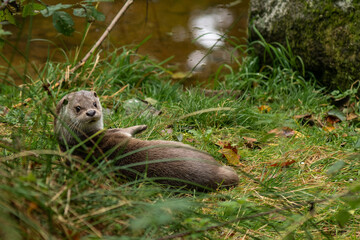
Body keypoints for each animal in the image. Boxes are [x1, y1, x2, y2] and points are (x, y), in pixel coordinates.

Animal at [54, 90, 239, 189]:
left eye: (94, 103)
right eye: (78, 108)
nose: (91, 112)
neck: (82, 140)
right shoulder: (115, 134)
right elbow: (126, 131)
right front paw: (141, 126)